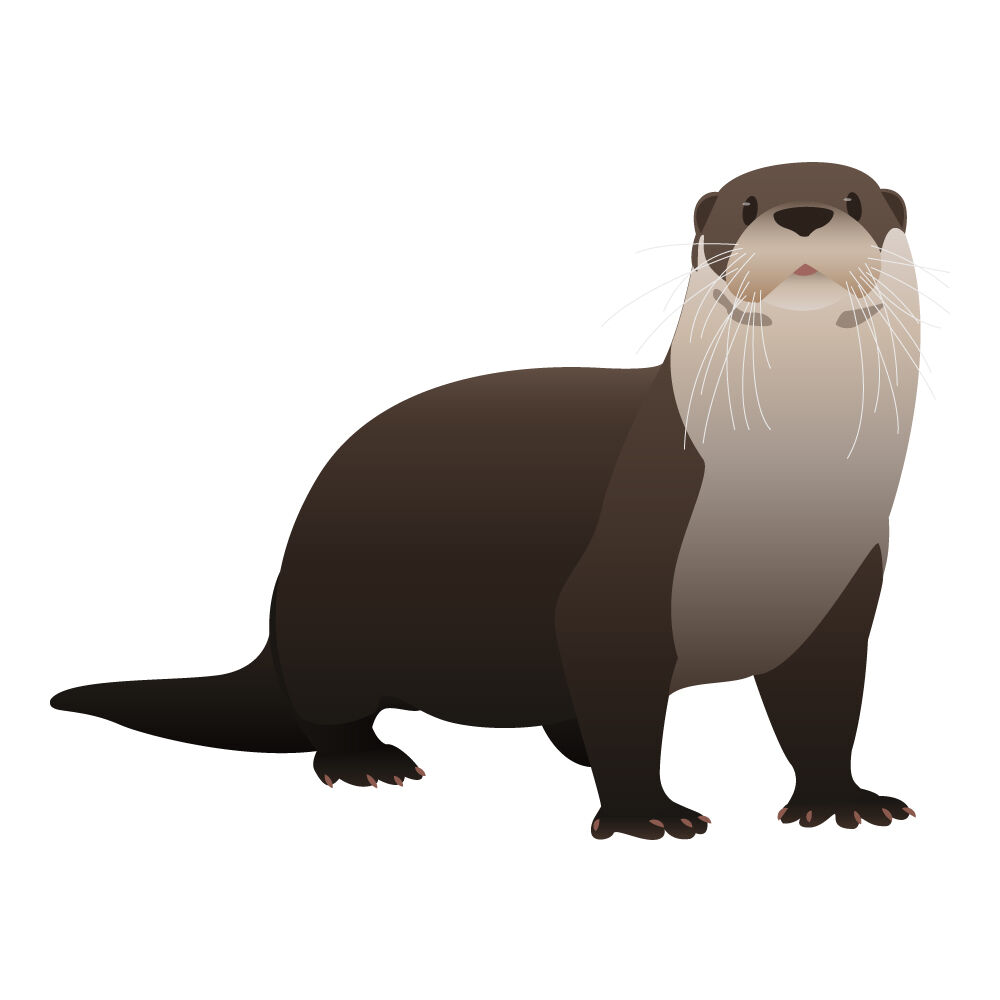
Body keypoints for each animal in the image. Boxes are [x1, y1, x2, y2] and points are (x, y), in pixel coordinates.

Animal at [52, 162, 923, 840]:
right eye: (744, 205)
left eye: (854, 200)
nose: (803, 213)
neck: (788, 497)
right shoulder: (625, 565)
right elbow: (617, 684)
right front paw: (646, 814)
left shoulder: (841, 593)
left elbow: (825, 705)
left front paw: (842, 801)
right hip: (327, 623)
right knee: (327, 715)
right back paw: (367, 762)